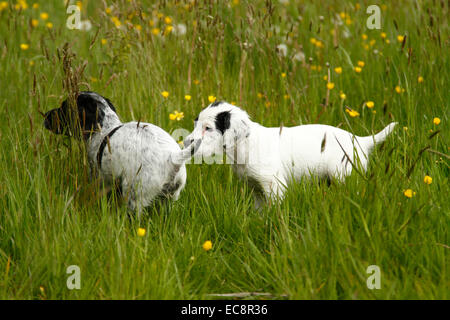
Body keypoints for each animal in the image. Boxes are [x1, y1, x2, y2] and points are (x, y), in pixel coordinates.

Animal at [44, 90, 199, 215]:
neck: (104, 128)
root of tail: (173, 158)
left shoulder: (99, 178)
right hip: (169, 199)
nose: (45, 115)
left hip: (134, 197)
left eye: (63, 107)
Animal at [185, 102, 396, 208]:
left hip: (344, 175)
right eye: (196, 123)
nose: (187, 143)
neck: (246, 144)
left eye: (208, 128)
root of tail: (360, 140)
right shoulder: (256, 189)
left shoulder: (274, 185)